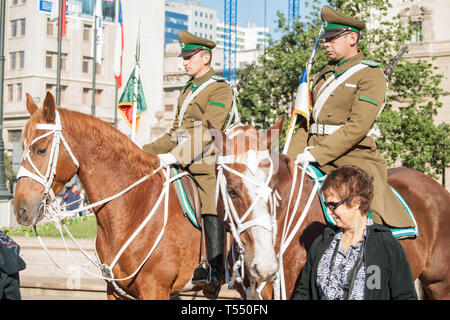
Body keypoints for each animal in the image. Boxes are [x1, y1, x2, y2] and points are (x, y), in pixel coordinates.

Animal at [13, 93, 204, 300]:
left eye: (40, 149)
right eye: (21, 146)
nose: (20, 209)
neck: (135, 206)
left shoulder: (155, 289)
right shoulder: (115, 290)